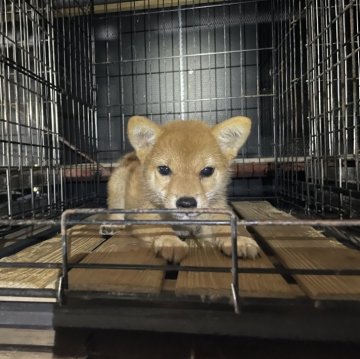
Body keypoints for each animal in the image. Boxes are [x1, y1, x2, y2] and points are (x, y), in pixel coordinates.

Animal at [104, 116, 258, 262]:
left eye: (207, 171)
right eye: (164, 169)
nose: (186, 203)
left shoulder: (214, 213)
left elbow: (225, 226)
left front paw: (240, 241)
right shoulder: (145, 215)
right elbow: (161, 228)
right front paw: (170, 242)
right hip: (117, 186)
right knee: (116, 210)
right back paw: (112, 224)